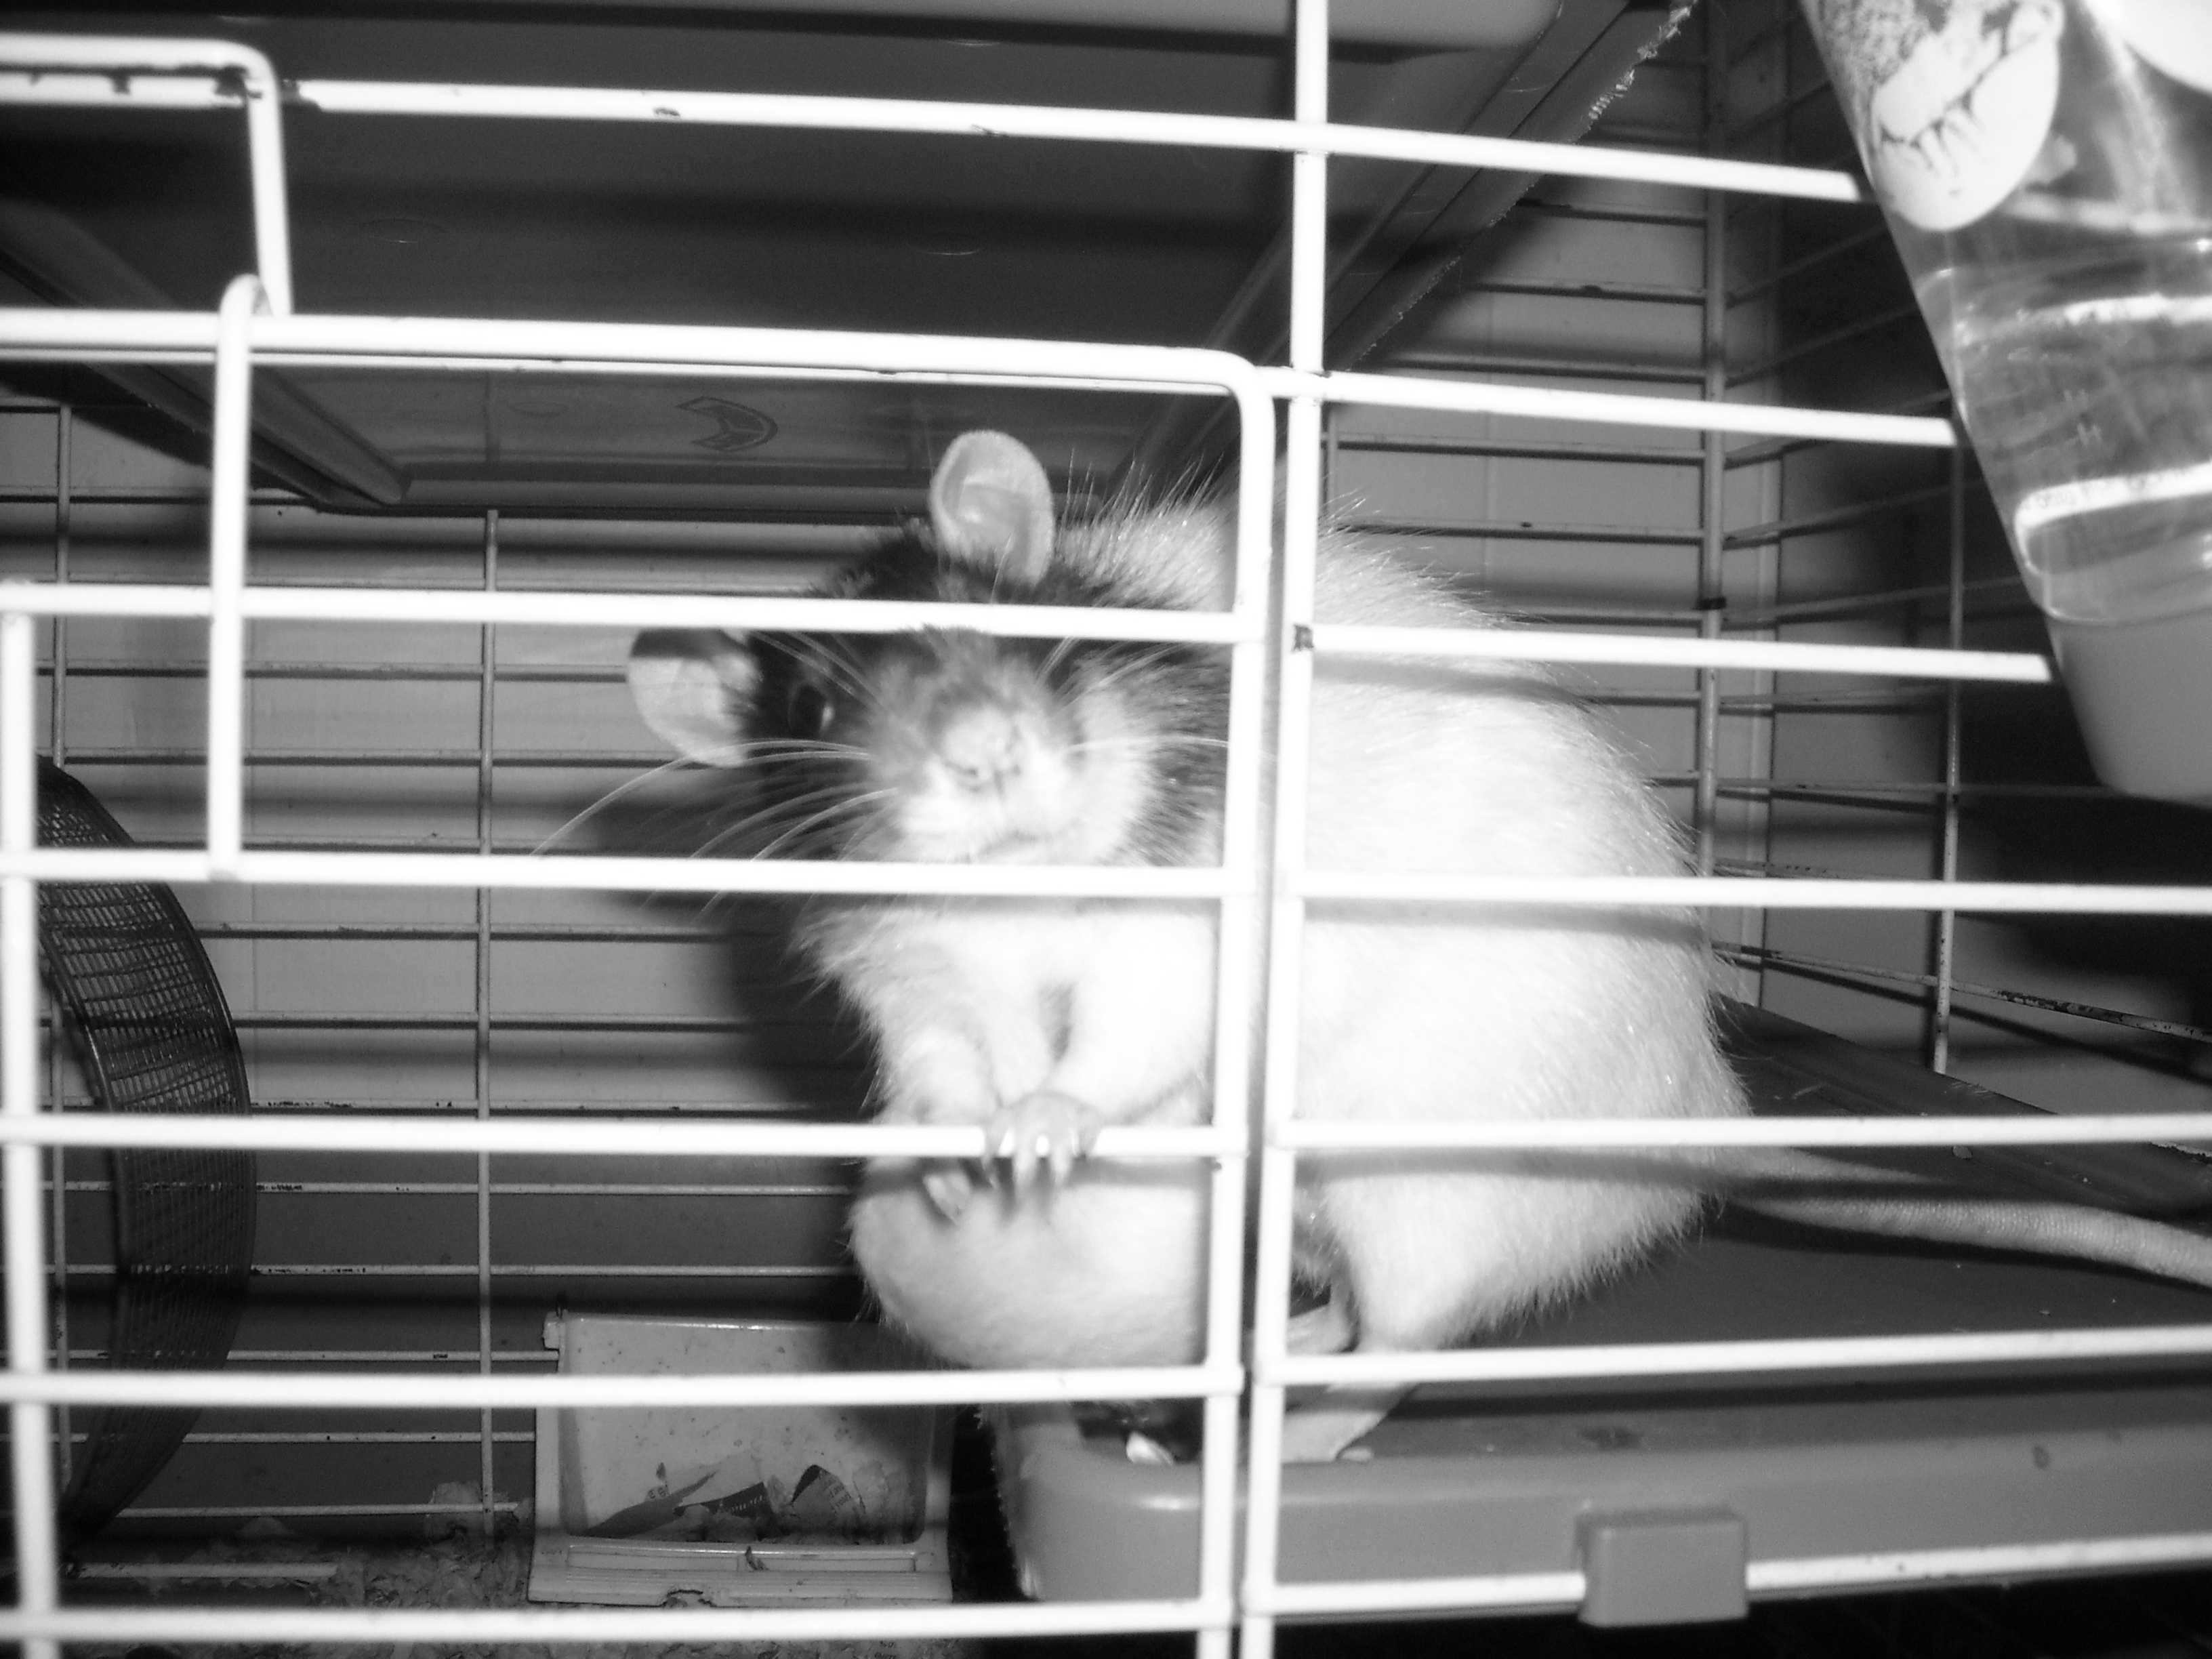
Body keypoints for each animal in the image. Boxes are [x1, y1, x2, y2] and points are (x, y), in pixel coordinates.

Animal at [629, 430, 2212, 1462]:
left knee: (1406, 1347)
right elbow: (945, 1064)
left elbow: (1143, 1035)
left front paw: (1057, 1120)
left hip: (1422, 1191)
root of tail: (1689, 1123)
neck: (1021, 901)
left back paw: (1300, 1436)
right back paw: (1272, 1358)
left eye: (1007, 627)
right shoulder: (910, 971)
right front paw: (955, 1153)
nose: (987, 753)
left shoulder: (1182, 930)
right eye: (817, 712)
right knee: (1348, 1319)